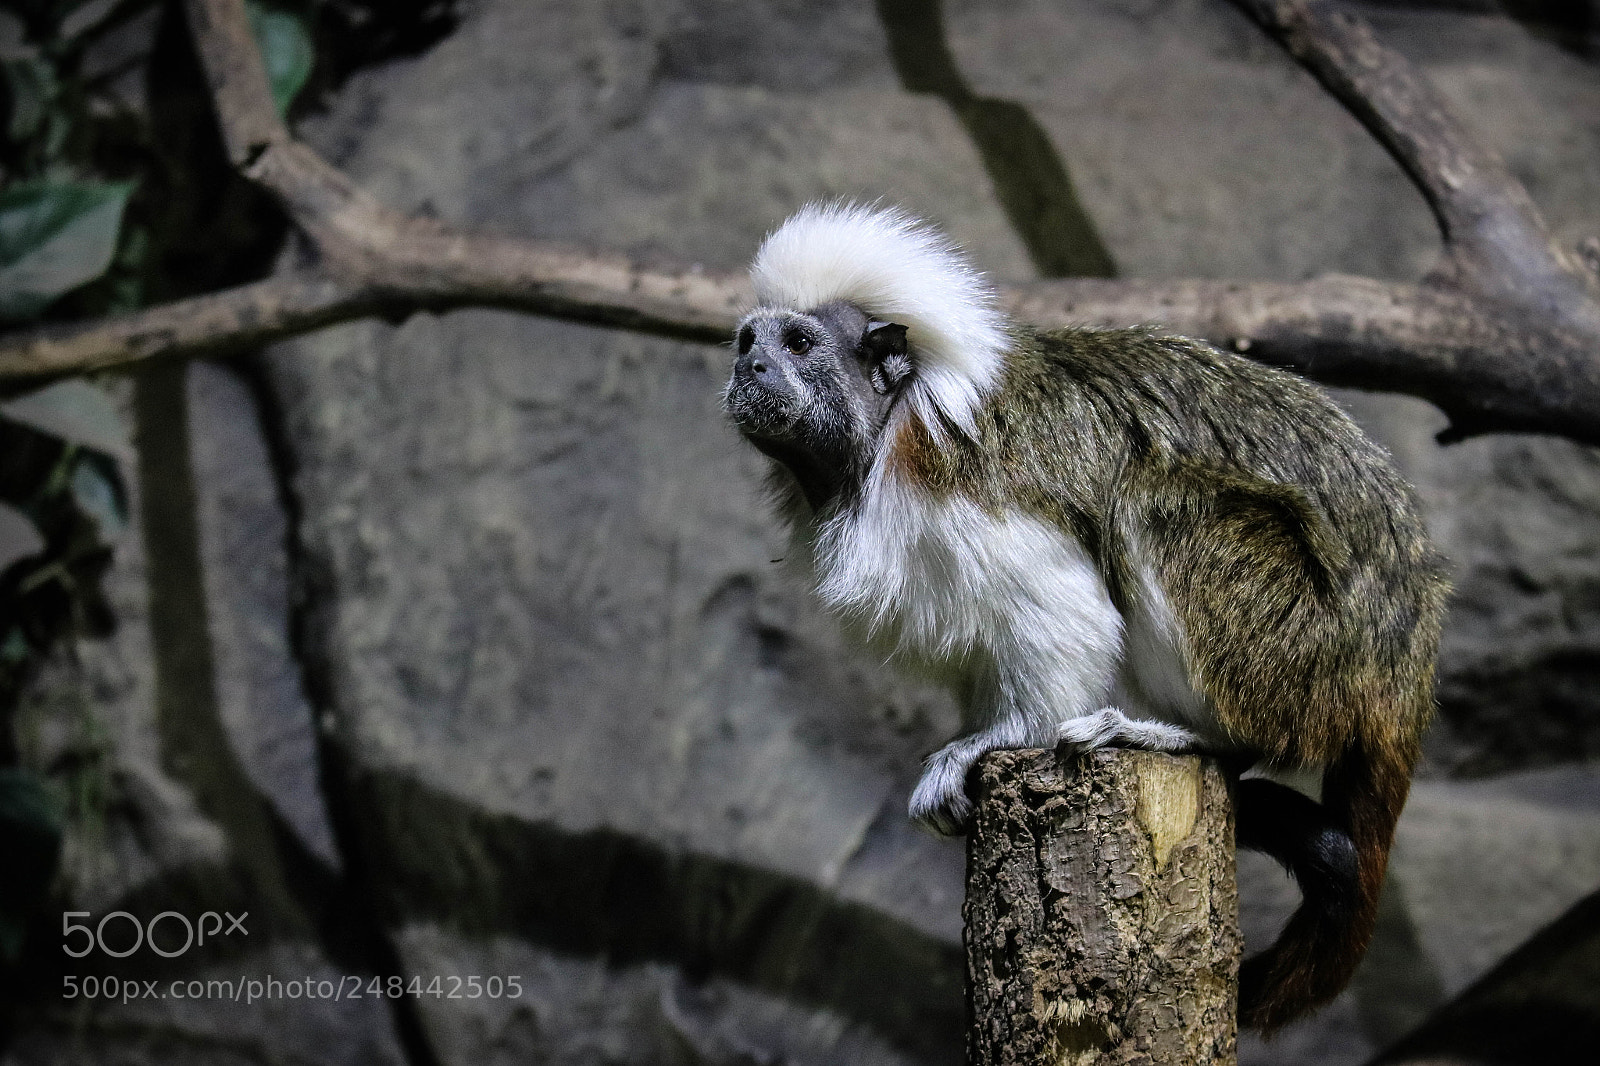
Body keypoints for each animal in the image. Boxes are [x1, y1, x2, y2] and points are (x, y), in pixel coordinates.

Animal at [721, 202, 1451, 1033]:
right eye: (749, 341)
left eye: (799, 344)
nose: (750, 368)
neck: (885, 431)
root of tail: (1404, 659)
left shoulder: (962, 481)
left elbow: (1060, 601)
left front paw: (995, 742)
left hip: (1306, 648)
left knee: (1156, 501)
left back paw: (1186, 735)